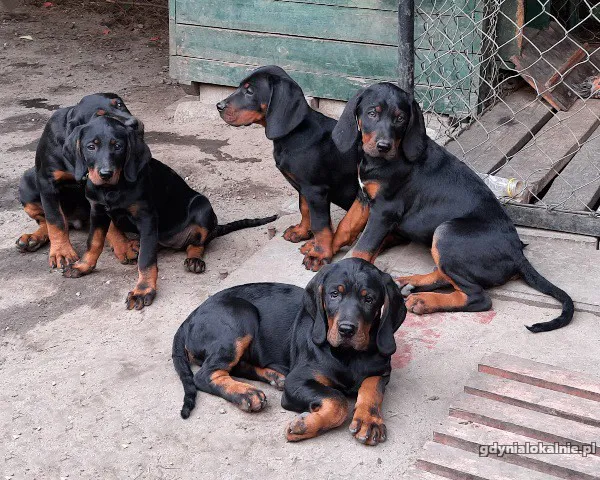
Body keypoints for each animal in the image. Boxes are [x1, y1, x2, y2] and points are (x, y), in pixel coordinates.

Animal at [16, 92, 139, 268]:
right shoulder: (48, 184)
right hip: (26, 184)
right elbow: (55, 220)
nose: (134, 124)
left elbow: (110, 223)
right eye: (98, 116)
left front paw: (123, 246)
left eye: (119, 104)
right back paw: (32, 238)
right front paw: (61, 252)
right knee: (47, 220)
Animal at [61, 116, 276, 312]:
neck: (112, 189)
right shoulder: (97, 212)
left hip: (202, 207)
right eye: (91, 146)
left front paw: (143, 290)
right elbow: (94, 242)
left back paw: (194, 260)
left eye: (118, 146)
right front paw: (83, 266)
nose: (105, 174)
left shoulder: (147, 217)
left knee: (197, 242)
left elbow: (146, 260)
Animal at [173, 258, 408, 446]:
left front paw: (369, 421)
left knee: (237, 366)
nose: (347, 330)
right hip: (240, 316)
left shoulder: (381, 371)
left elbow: (372, 389)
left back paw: (274, 377)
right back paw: (246, 394)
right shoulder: (298, 381)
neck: (348, 355)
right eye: (334, 295)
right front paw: (304, 426)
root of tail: (191, 316)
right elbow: (337, 400)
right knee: (206, 374)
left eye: (369, 299)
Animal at [217, 66, 360, 272]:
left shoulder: (315, 189)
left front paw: (319, 254)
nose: (218, 106)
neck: (294, 134)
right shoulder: (303, 187)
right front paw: (301, 232)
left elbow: (321, 225)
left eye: (249, 91)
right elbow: (305, 209)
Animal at [330, 82, 576, 332]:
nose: (383, 146)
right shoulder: (363, 197)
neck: (379, 161)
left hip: (446, 232)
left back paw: (425, 300)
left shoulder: (384, 210)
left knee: (478, 297)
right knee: (446, 275)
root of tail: (518, 255)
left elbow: (362, 249)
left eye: (400, 119)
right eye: (372, 113)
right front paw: (325, 253)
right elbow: (346, 226)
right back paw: (410, 283)